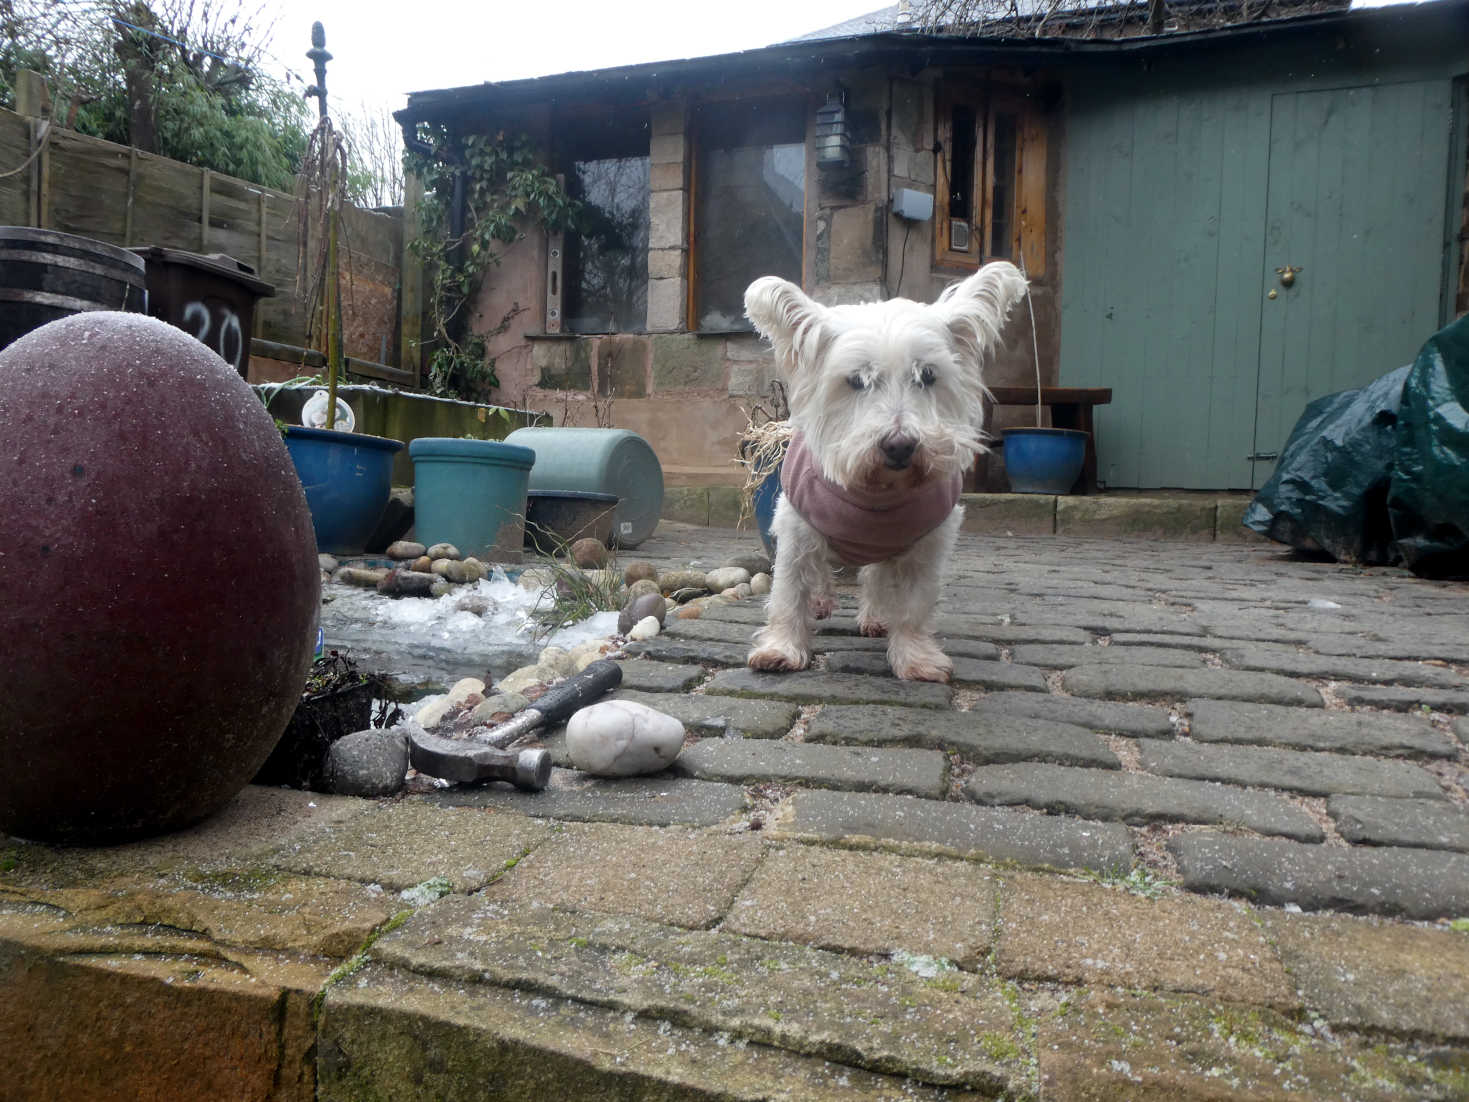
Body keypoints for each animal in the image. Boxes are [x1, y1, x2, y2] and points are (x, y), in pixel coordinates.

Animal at [740, 264, 1028, 687]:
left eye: (927, 375)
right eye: (857, 380)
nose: (900, 446)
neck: (876, 494)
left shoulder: (927, 542)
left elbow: (913, 605)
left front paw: (916, 658)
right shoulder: (796, 528)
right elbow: (789, 592)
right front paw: (782, 648)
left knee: (874, 579)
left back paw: (875, 617)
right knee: (821, 573)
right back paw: (822, 600)